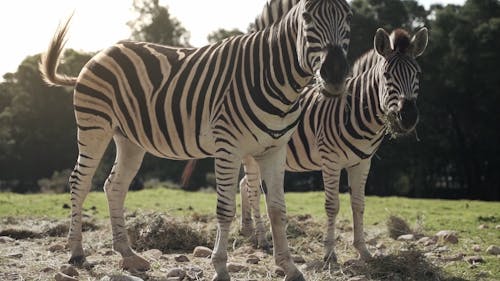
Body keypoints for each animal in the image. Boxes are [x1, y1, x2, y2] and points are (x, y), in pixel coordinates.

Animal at [39, 1, 352, 278]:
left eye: (348, 17)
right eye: (307, 19)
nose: (335, 76)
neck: (273, 76)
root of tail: (102, 51)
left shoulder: (274, 149)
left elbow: (278, 210)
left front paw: (289, 268)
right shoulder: (228, 147)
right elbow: (225, 210)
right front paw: (221, 268)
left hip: (130, 139)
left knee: (113, 186)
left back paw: (128, 254)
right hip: (94, 126)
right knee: (80, 181)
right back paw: (77, 254)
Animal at [238, 26, 426, 262]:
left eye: (417, 74)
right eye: (386, 75)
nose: (408, 117)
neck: (355, 110)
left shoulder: (362, 163)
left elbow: (359, 204)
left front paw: (363, 251)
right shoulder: (330, 161)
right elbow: (332, 206)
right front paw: (329, 253)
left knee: (244, 185)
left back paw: (248, 231)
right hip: (252, 154)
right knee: (252, 190)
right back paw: (261, 239)